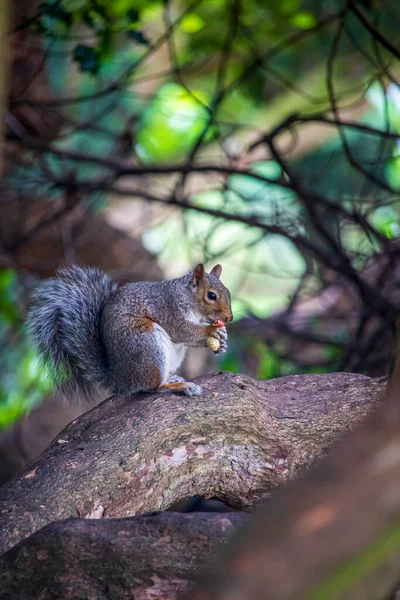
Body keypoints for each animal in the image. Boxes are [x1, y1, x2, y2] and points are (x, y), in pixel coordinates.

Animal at [27, 262, 231, 398]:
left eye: (228, 292)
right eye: (211, 296)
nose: (229, 318)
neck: (186, 297)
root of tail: (121, 380)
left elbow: (189, 339)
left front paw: (221, 342)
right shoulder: (169, 309)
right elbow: (182, 331)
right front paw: (210, 332)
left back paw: (172, 378)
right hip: (147, 344)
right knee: (152, 387)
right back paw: (179, 386)